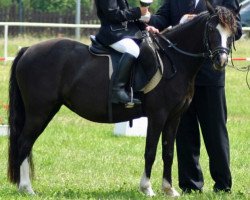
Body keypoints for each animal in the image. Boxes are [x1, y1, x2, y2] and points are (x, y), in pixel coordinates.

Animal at [7, 3, 237, 198]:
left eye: (231, 33)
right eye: (212, 30)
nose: (221, 60)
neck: (175, 60)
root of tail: (27, 50)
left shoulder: (174, 117)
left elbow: (168, 152)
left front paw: (169, 189)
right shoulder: (158, 115)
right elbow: (150, 151)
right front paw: (147, 188)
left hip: (44, 111)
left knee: (25, 144)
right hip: (39, 112)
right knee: (24, 143)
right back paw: (26, 189)